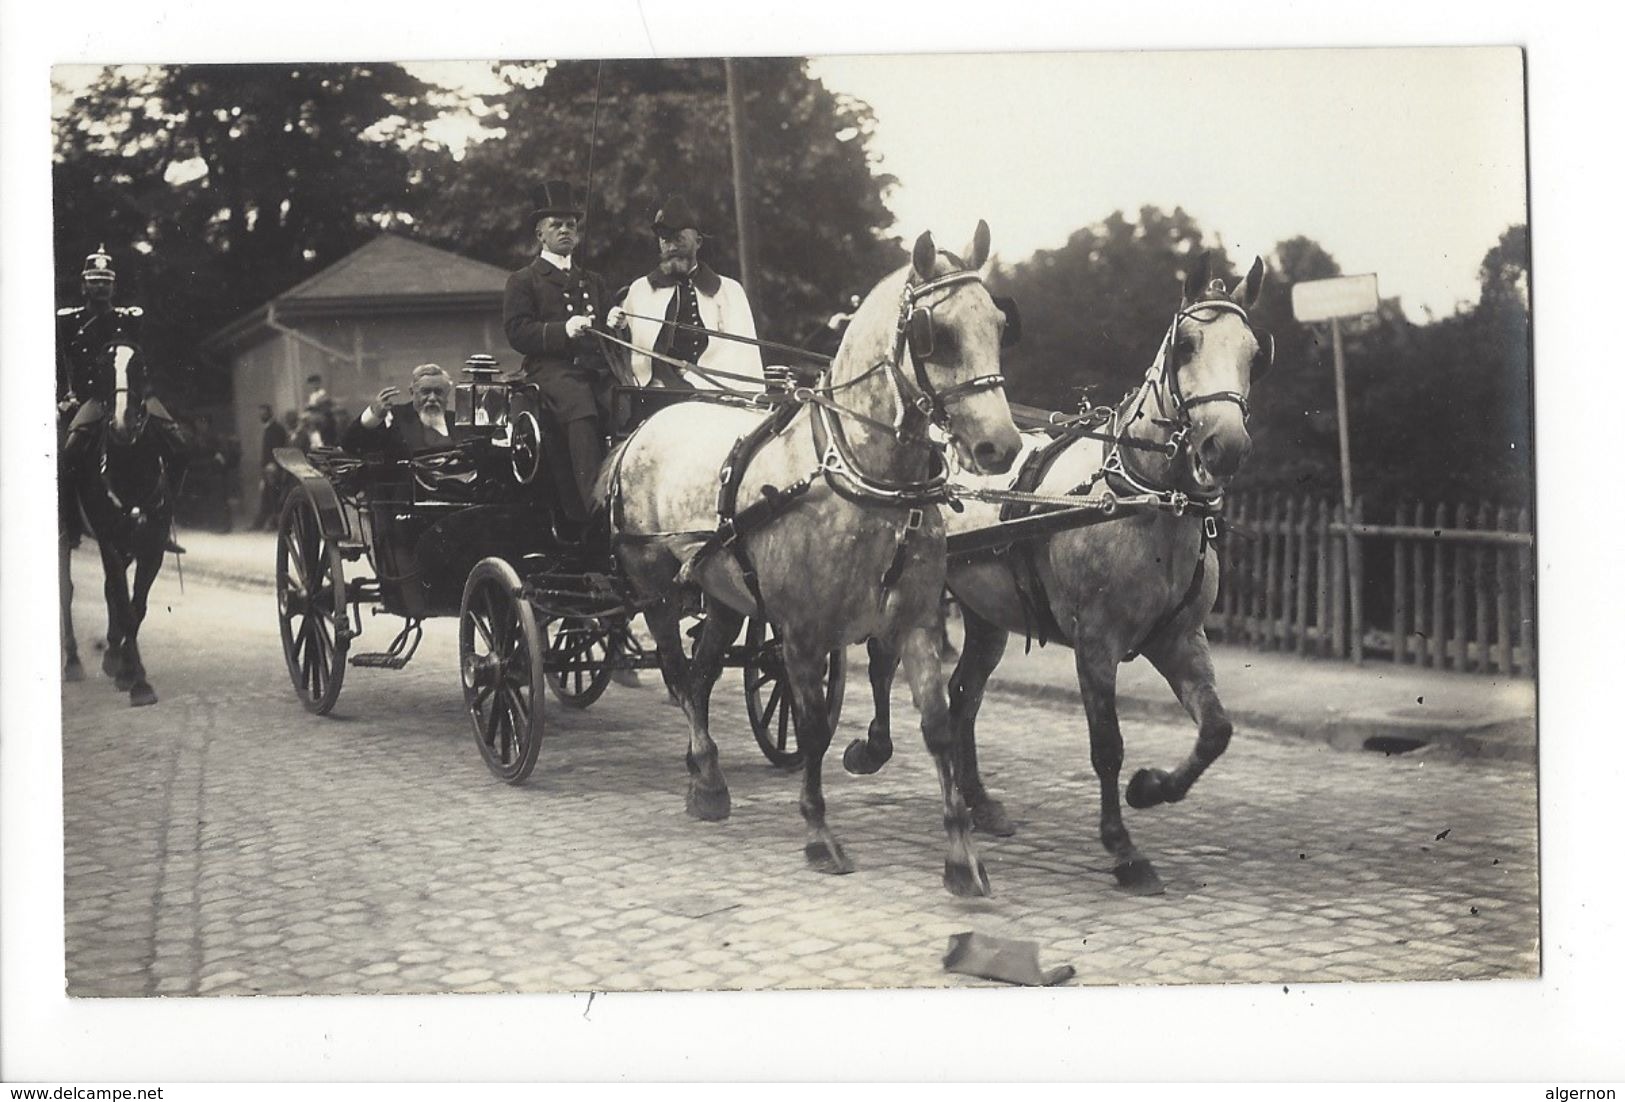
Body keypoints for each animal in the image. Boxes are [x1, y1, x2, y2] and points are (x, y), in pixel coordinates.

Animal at [60, 342, 179, 708]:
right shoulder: (109, 541)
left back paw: (111, 654)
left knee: (109, 591)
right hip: (66, 535)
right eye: (101, 369)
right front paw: (138, 682)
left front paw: (125, 668)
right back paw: (73, 662)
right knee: (67, 590)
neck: (131, 468)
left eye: (140, 368)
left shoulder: (151, 544)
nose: (123, 424)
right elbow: (125, 606)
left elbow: (135, 606)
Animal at [845, 256, 1274, 897]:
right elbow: (1107, 745)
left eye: (1254, 352)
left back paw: (979, 801)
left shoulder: (1180, 638)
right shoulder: (1096, 641)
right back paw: (872, 747)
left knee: (963, 695)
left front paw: (1152, 788)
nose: (1225, 447)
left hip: (985, 614)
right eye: (1187, 345)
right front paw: (1123, 848)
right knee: (880, 661)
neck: (1140, 496)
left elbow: (1216, 730)